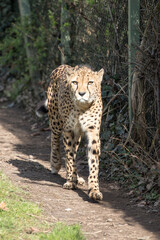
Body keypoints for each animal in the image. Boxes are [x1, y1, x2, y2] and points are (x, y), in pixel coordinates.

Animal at [46, 64, 104, 201]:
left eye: (90, 82)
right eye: (75, 82)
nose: (81, 93)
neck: (82, 108)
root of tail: (62, 66)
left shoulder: (93, 131)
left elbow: (93, 162)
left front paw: (94, 189)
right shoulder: (68, 130)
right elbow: (70, 156)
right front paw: (71, 181)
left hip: (77, 135)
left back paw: (77, 177)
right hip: (56, 120)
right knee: (54, 139)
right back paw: (56, 164)